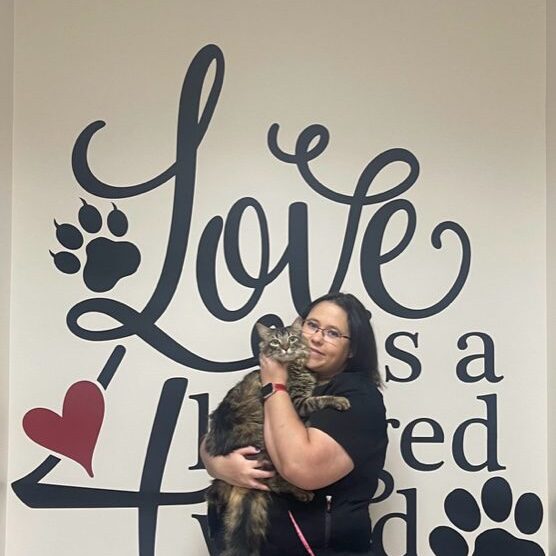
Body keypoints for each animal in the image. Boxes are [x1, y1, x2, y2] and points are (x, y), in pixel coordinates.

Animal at [204, 318, 352, 556]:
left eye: (292, 338)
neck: (297, 365)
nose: (285, 348)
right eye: (275, 341)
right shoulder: (298, 401)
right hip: (263, 449)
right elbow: (319, 399)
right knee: (272, 482)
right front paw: (339, 400)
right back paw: (302, 493)